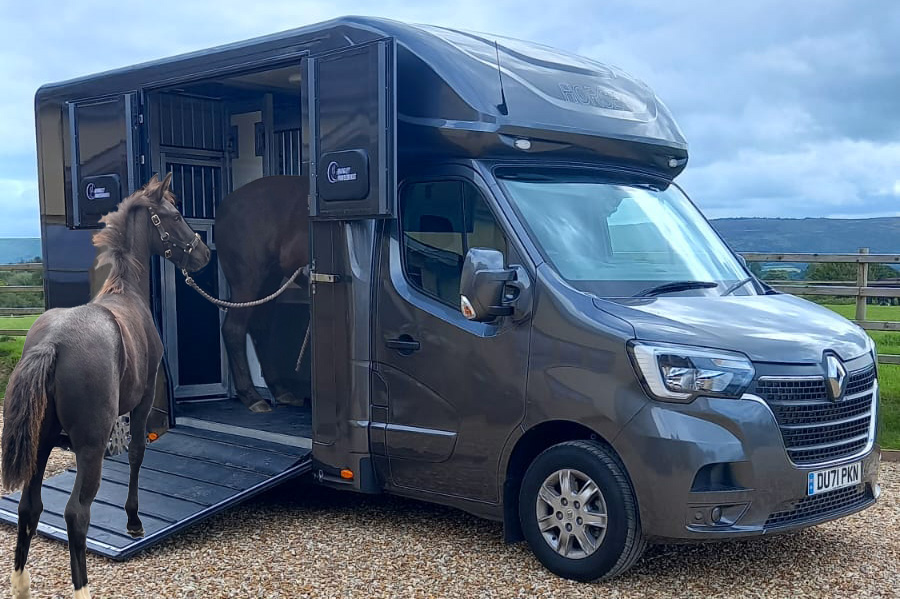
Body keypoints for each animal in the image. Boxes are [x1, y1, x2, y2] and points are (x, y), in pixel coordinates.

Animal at [2, 175, 209, 599]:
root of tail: (53, 344)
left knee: (30, 506)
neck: (126, 293)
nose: (204, 254)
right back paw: (82, 588)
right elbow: (136, 454)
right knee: (76, 513)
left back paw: (21, 583)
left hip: (42, 441)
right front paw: (133, 521)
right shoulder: (143, 402)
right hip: (89, 447)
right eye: (175, 214)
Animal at [216, 176, 312, 414]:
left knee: (260, 327)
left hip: (270, 280)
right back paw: (252, 396)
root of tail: (223, 206)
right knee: (234, 329)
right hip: (248, 281)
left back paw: (280, 390)